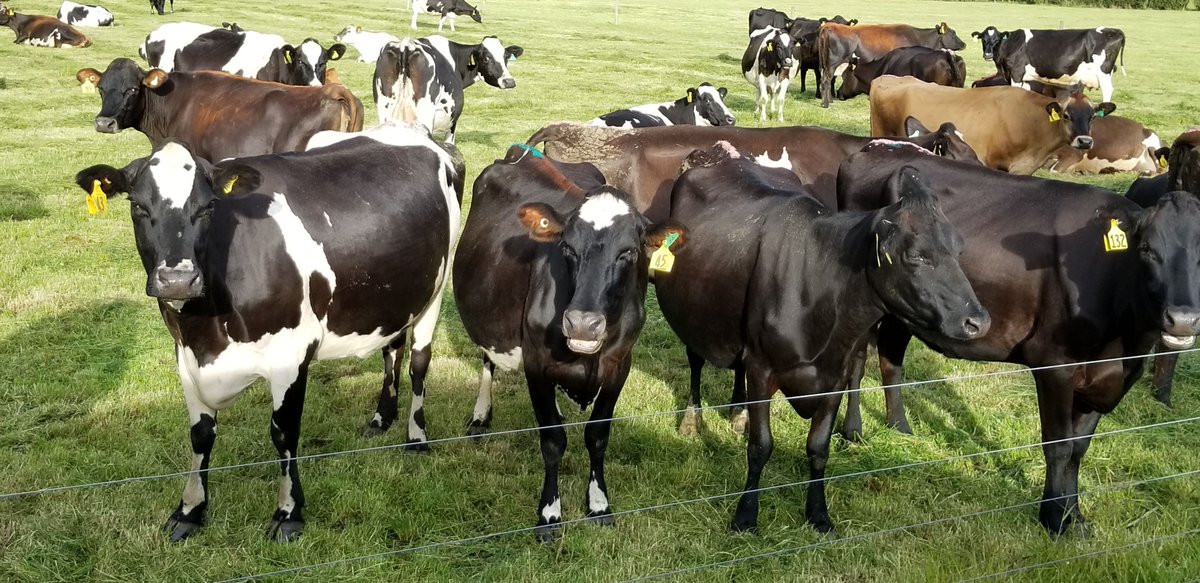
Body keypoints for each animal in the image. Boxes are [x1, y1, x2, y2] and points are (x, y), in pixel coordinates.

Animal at [72, 124, 464, 541]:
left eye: (208, 207)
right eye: (137, 207)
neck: (205, 328)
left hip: (435, 290)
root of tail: (418, 132)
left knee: (419, 363)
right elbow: (200, 434)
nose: (177, 280)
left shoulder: (290, 355)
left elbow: (284, 433)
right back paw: (380, 419)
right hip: (395, 294)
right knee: (392, 348)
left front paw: (288, 513)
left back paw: (416, 437)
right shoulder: (185, 355)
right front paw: (190, 510)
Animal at [656, 143, 986, 534]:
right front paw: (746, 515)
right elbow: (761, 447)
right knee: (695, 361)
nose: (977, 321)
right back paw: (692, 420)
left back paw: (738, 413)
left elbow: (818, 447)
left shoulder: (834, 378)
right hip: (689, 312)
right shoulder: (762, 368)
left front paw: (818, 513)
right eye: (916, 255)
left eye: (960, 248)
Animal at [835, 146, 1200, 535]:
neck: (1123, 346)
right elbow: (1058, 446)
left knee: (891, 358)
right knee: (856, 364)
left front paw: (1075, 518)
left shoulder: (1104, 381)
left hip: (905, 308)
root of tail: (871, 149)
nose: (1183, 319)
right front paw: (1054, 519)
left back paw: (900, 429)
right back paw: (853, 432)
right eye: (1146, 250)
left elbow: (1078, 450)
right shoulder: (1054, 363)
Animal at [983, 27, 1126, 102]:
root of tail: (1112, 30)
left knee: (1107, 90)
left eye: (996, 40)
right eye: (983, 40)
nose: (987, 54)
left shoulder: (1016, 73)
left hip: (1103, 73)